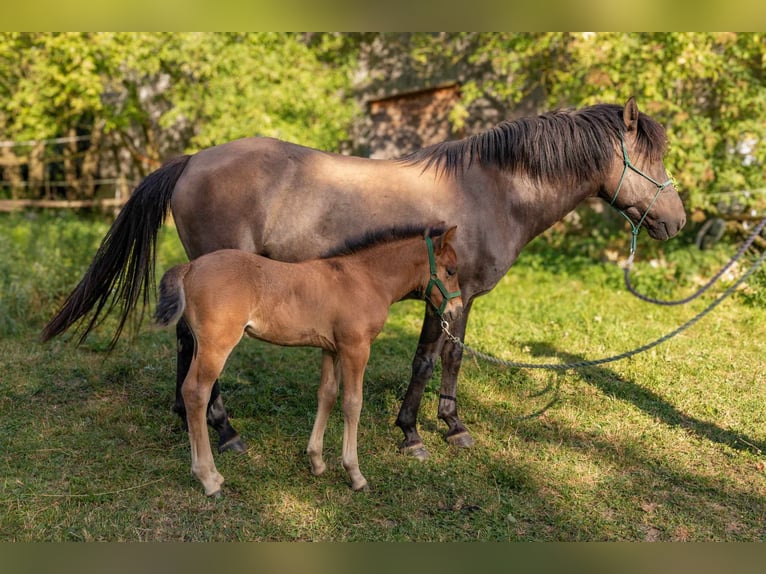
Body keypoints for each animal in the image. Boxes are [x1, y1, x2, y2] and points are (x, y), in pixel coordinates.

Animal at [153, 227, 460, 498]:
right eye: (451, 271)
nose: (456, 312)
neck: (364, 279)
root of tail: (190, 267)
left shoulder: (331, 349)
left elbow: (327, 395)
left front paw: (317, 462)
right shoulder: (356, 349)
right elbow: (352, 403)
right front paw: (355, 474)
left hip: (202, 346)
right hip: (217, 346)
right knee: (196, 393)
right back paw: (208, 479)